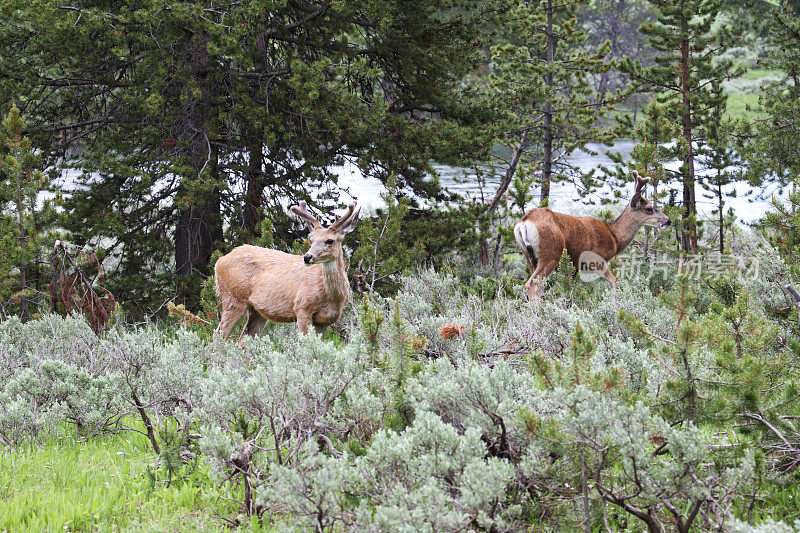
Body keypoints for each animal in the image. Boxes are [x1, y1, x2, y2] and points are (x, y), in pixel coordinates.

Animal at [216, 202, 360, 338]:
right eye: (311, 240)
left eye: (330, 240)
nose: (307, 257)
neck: (331, 296)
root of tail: (219, 261)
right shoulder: (302, 308)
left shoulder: (325, 320)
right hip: (232, 297)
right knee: (218, 335)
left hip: (257, 311)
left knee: (242, 340)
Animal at [512, 171, 668, 300]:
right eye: (649, 208)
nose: (668, 221)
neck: (614, 237)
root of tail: (524, 222)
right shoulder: (595, 259)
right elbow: (613, 281)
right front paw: (614, 307)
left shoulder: (576, 265)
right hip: (551, 252)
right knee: (532, 285)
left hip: (529, 256)